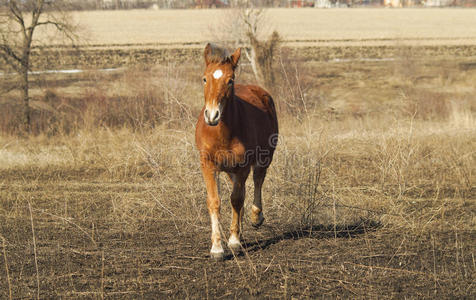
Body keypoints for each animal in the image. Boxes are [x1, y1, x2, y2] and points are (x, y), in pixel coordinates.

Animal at [194, 44, 278, 260]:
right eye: (204, 78)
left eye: (230, 80)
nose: (212, 115)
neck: (223, 132)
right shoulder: (208, 165)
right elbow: (215, 202)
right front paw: (217, 248)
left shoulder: (243, 166)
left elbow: (236, 199)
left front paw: (233, 241)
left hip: (264, 158)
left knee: (257, 181)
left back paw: (256, 217)